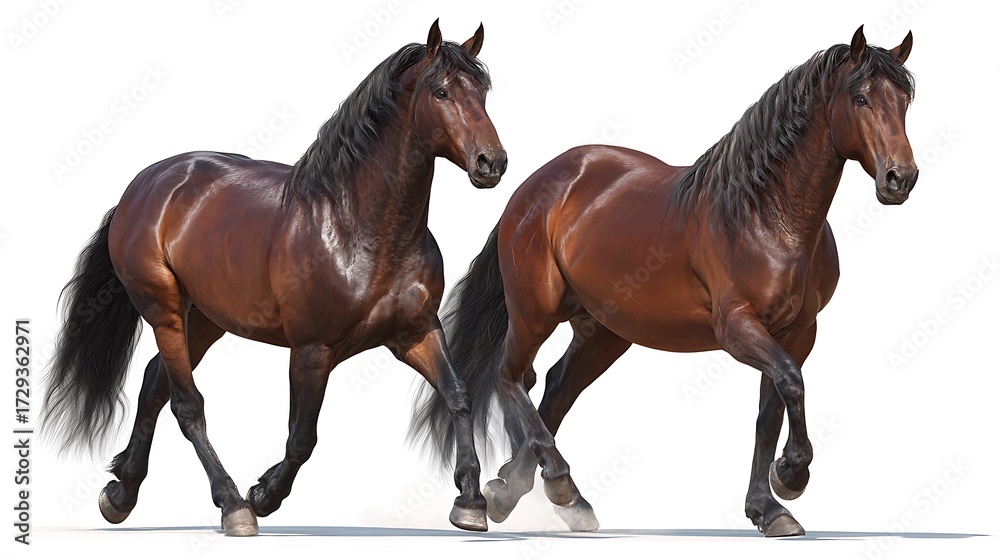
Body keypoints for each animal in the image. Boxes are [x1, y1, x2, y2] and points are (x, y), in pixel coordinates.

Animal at [41, 20, 507, 537]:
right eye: (441, 91)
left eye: (484, 91)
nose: (491, 163)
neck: (360, 227)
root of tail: (142, 188)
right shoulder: (311, 351)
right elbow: (302, 436)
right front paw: (262, 495)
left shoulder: (416, 333)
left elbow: (459, 395)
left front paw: (470, 501)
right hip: (164, 311)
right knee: (187, 405)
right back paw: (231, 505)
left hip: (205, 321)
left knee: (153, 382)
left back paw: (121, 493)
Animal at [410, 26, 917, 537]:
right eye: (861, 97)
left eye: (906, 99)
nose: (901, 178)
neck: (765, 215)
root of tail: (532, 188)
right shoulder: (737, 328)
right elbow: (792, 384)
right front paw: (791, 476)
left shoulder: (797, 332)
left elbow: (771, 411)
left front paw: (769, 510)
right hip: (535, 313)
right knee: (512, 376)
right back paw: (540, 487)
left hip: (604, 331)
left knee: (555, 389)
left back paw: (521, 491)